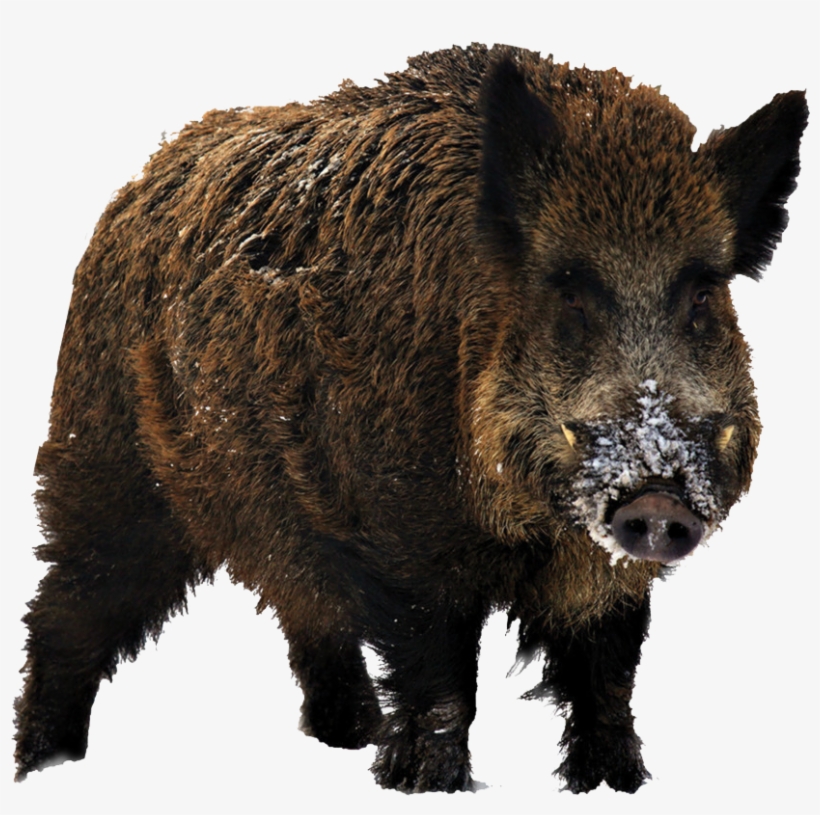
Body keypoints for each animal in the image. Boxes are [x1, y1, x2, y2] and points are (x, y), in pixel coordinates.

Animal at [14, 43, 807, 793]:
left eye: (702, 292)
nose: (657, 500)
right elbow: (441, 685)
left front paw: (616, 783)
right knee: (66, 612)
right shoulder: (404, 536)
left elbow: (606, 682)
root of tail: (140, 182)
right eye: (569, 289)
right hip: (108, 463)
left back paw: (349, 736)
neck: (530, 525)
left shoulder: (601, 575)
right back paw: (44, 765)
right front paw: (426, 783)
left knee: (305, 610)